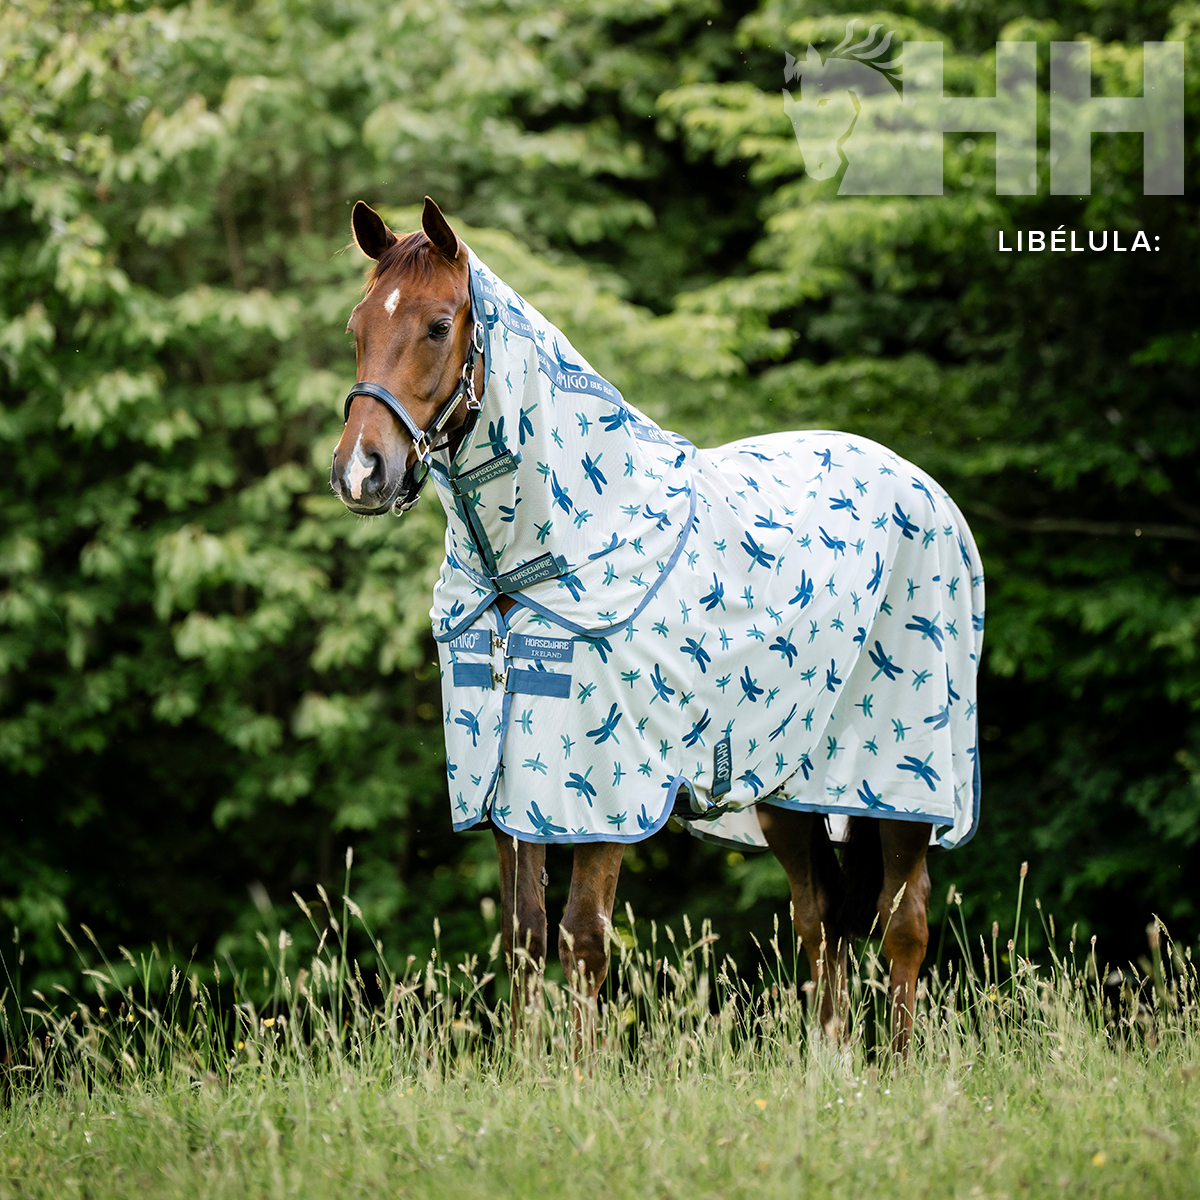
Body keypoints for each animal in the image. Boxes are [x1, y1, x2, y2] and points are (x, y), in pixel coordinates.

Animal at [330, 197, 984, 1055]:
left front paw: (578, 1074)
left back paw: (898, 1069)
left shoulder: (605, 789)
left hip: (902, 791)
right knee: (822, 922)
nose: (360, 473)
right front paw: (526, 1069)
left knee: (903, 924)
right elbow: (524, 936)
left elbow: (582, 936)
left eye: (439, 325)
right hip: (788, 789)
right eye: (357, 326)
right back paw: (829, 1067)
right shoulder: (509, 781)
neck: (541, 556)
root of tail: (924, 490)